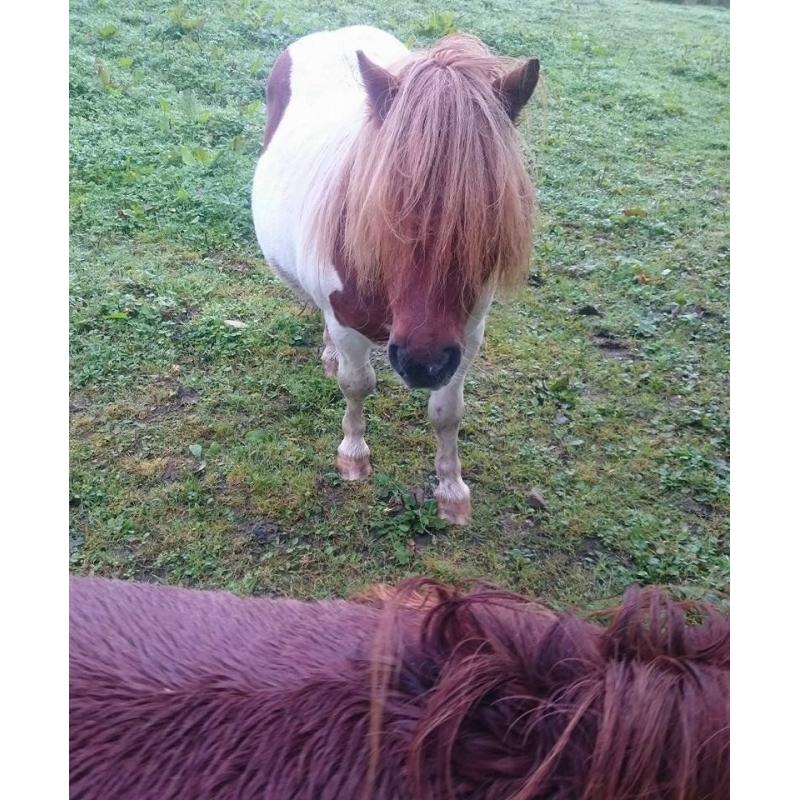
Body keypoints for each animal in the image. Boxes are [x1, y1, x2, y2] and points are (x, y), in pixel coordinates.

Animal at [251, 27, 540, 524]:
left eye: (489, 216)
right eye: (383, 207)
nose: (423, 364)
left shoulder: (467, 336)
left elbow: (447, 410)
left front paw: (452, 491)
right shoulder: (346, 322)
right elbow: (357, 384)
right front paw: (353, 456)